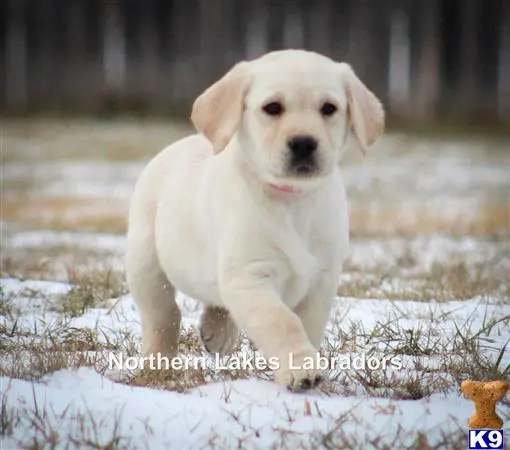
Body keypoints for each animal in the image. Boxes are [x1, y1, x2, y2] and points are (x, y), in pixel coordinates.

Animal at [126, 49, 382, 390]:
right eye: (272, 108)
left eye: (329, 108)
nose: (304, 143)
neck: (291, 200)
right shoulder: (250, 276)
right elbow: (281, 321)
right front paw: (300, 369)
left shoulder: (321, 279)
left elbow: (308, 324)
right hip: (146, 261)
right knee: (163, 315)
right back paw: (158, 365)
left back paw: (217, 332)